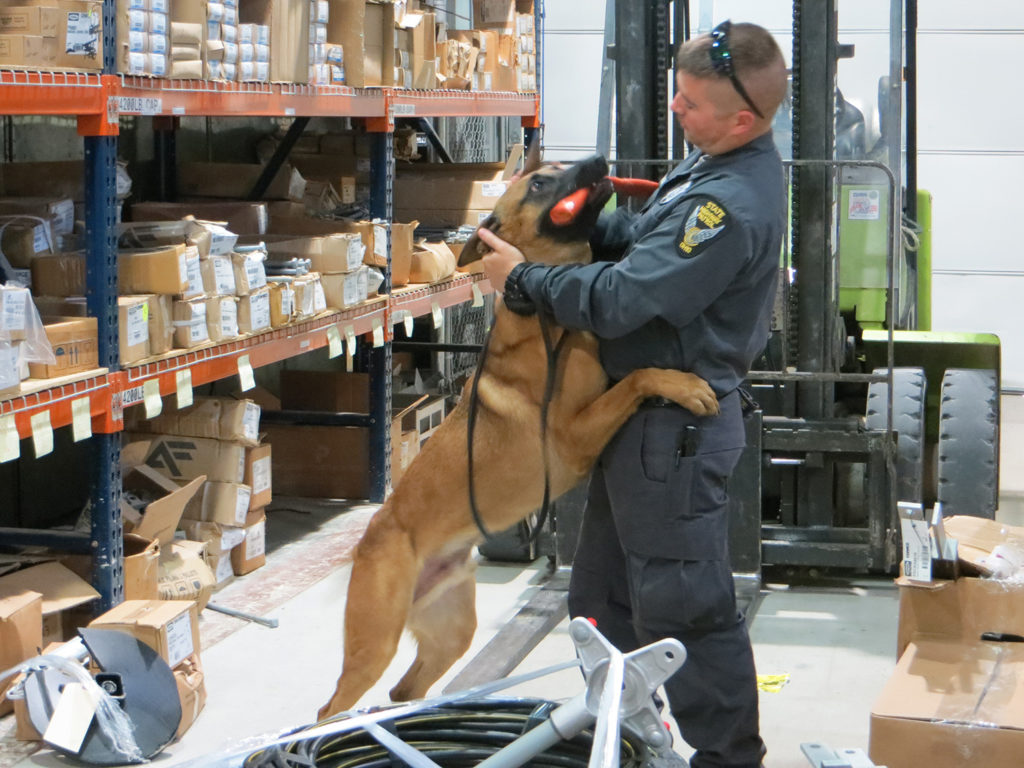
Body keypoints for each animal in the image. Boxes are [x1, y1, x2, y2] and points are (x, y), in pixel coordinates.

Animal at [319, 150, 720, 720]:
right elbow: (639, 376)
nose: (597, 158)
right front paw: (684, 385)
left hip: (451, 633)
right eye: (538, 184)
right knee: (330, 709)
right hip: (374, 646)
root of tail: (370, 537)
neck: (546, 311)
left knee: (403, 690)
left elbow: (629, 376)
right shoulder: (574, 435)